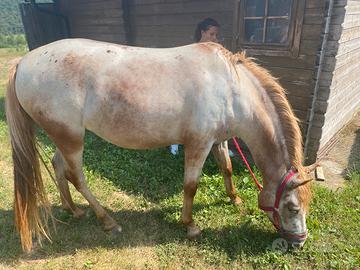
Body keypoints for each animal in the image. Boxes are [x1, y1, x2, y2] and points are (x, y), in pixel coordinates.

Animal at [5, 39, 312, 252]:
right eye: (293, 208)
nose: (299, 243)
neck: (231, 88)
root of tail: (25, 61)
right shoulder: (198, 144)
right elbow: (191, 186)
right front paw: (190, 226)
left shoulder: (219, 140)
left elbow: (226, 167)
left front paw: (234, 198)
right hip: (72, 139)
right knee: (77, 177)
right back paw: (107, 221)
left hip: (64, 136)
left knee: (58, 167)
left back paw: (73, 210)